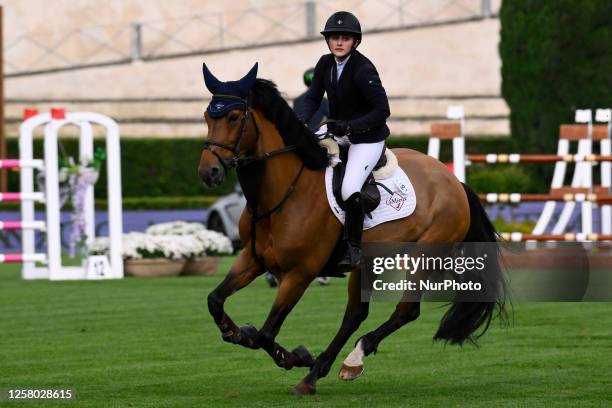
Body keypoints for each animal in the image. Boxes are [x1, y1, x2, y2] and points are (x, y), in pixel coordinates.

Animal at [198, 64, 504, 396]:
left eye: (233, 117)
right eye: (207, 117)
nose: (208, 172)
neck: (280, 194)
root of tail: (454, 182)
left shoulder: (299, 273)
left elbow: (265, 334)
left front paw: (293, 355)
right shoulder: (252, 259)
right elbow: (215, 301)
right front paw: (235, 331)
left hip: (423, 257)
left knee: (406, 311)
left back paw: (351, 358)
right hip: (368, 262)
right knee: (355, 314)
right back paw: (319, 372)